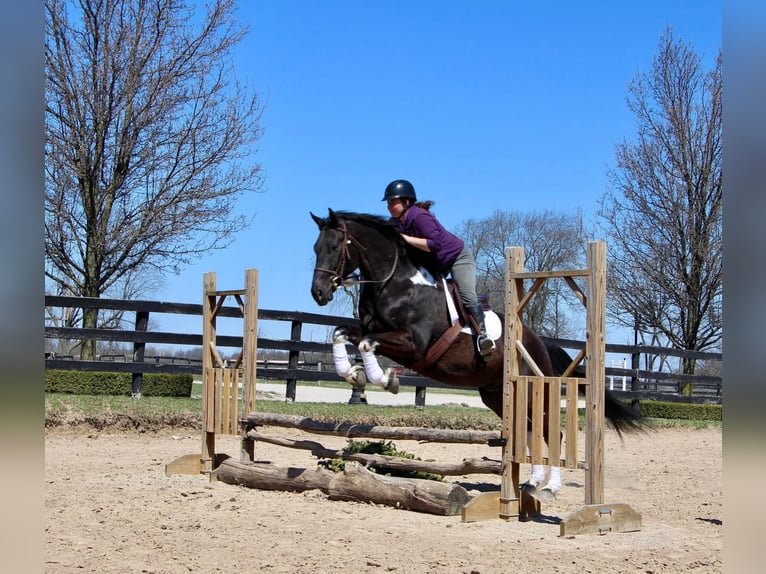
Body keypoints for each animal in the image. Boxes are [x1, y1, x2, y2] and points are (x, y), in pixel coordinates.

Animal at [308, 208, 644, 500]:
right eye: (315, 247)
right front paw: (353, 374)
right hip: (497, 394)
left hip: (533, 388)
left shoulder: (413, 344)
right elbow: (341, 334)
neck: (395, 283)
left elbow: (367, 344)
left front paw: (385, 378)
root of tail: (538, 341)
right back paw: (532, 483)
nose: (319, 293)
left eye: (334, 246)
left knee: (552, 433)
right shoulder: (368, 330)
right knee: (529, 432)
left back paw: (550, 487)